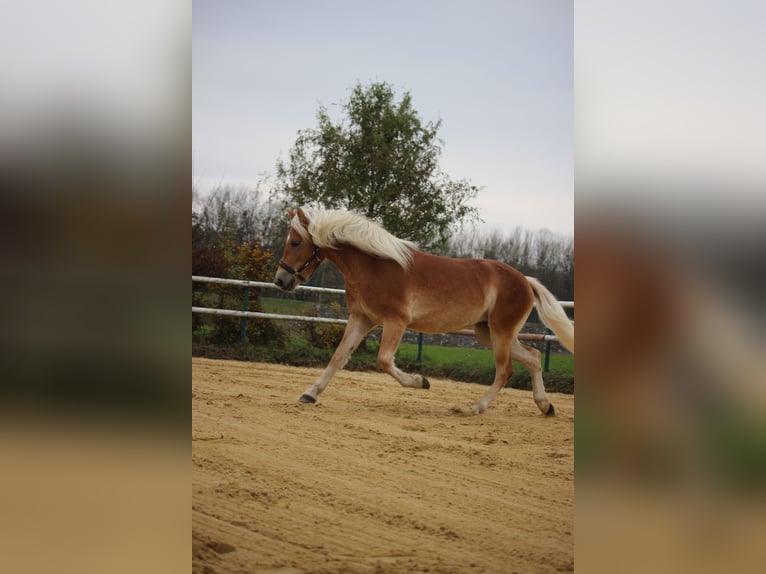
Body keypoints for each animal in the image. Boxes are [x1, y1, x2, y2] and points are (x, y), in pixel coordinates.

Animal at [272, 209, 572, 416]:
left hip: (500, 332)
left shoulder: (396, 321)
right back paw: (545, 407)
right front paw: (310, 394)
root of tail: (526, 281)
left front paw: (421, 382)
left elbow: (384, 361)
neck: (373, 266)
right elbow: (338, 357)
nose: (280, 280)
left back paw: (473, 408)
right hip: (489, 333)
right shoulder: (361, 319)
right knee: (533, 358)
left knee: (505, 371)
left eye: (295, 242)